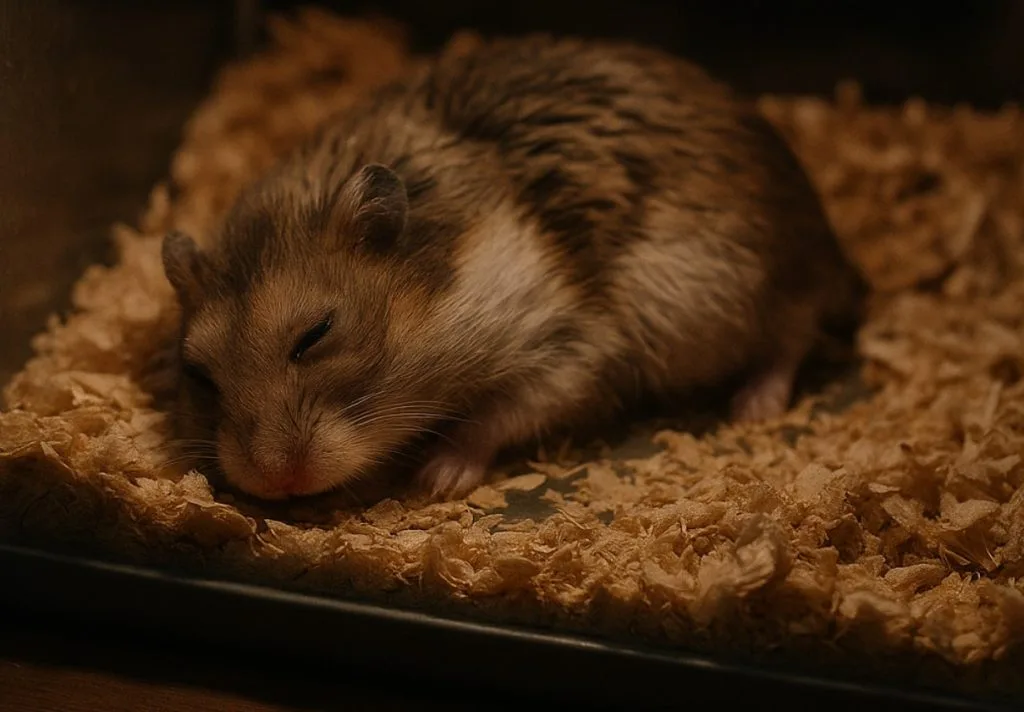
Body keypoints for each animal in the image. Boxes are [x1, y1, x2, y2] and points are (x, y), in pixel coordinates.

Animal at [161, 34, 866, 502]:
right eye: (198, 375)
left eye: (316, 335)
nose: (274, 483)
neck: (442, 290)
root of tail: (835, 246)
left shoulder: (570, 348)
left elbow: (493, 417)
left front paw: (437, 479)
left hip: (746, 291)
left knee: (793, 334)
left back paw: (753, 409)